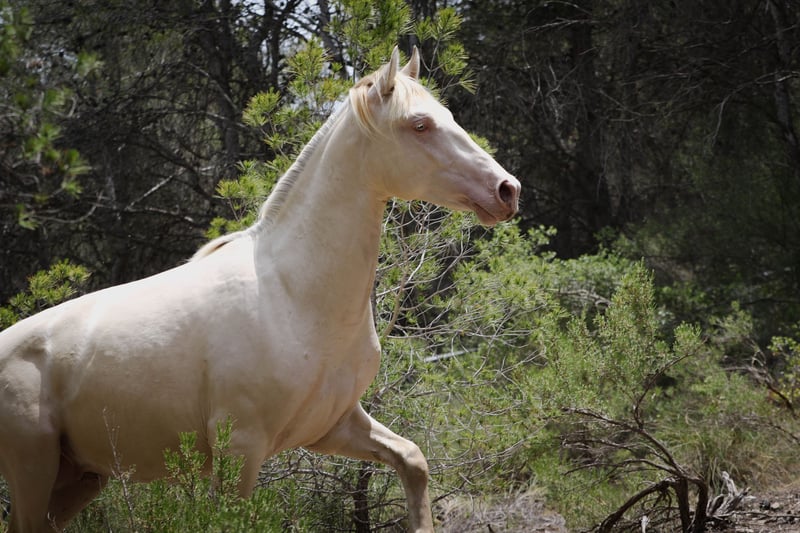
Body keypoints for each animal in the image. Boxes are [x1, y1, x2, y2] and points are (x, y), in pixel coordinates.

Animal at [0, 47, 520, 533]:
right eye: (420, 125)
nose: (506, 190)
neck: (294, 296)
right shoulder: (241, 450)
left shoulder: (336, 425)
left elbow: (413, 459)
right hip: (34, 470)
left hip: (79, 478)